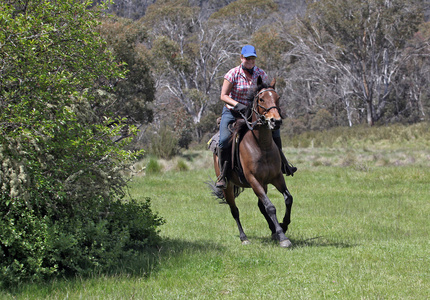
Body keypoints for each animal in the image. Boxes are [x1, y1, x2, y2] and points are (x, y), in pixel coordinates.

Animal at [211, 77, 294, 248]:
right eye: (261, 99)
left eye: (277, 98)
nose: (275, 121)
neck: (262, 145)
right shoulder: (253, 180)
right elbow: (270, 207)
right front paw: (283, 237)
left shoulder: (276, 178)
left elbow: (288, 199)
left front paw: (283, 225)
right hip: (228, 186)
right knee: (234, 210)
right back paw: (244, 237)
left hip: (264, 184)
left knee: (260, 206)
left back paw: (273, 230)